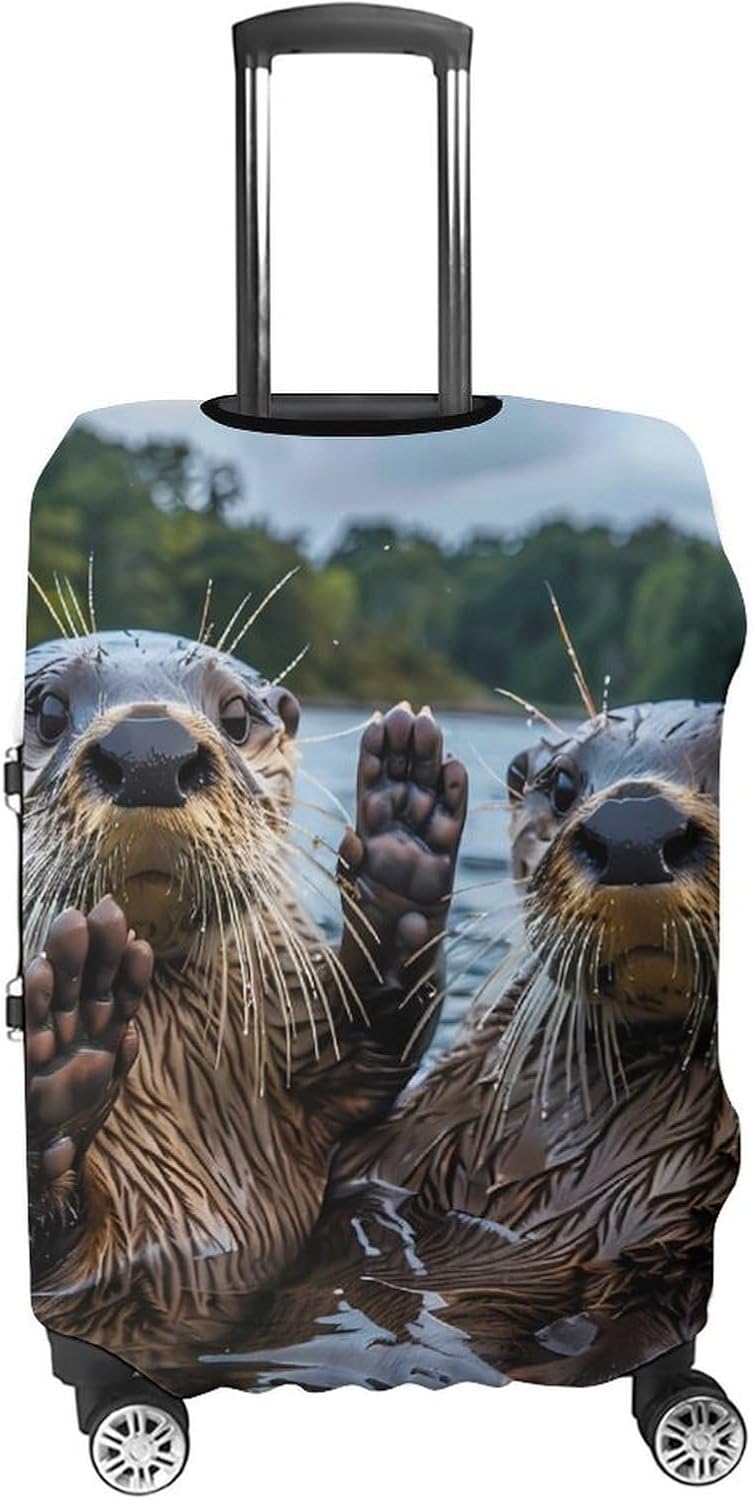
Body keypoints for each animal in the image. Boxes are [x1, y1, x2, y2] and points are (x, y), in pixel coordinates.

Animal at [23, 626, 468, 1392]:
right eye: (47, 711)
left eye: (235, 714)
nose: (149, 750)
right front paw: (63, 1045)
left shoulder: (306, 1073)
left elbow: (376, 1044)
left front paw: (403, 843)